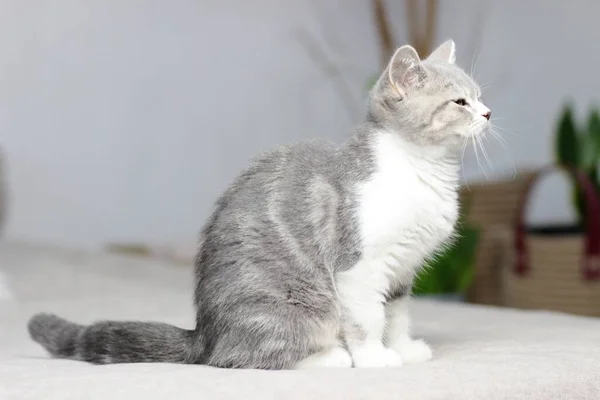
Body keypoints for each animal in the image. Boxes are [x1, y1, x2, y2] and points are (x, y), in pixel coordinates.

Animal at [27, 39, 492, 368]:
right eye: (459, 102)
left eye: (479, 95)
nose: (488, 113)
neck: (421, 170)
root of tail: (205, 334)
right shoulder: (360, 266)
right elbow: (367, 318)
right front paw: (374, 358)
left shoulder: (401, 270)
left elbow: (396, 315)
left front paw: (403, 349)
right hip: (293, 308)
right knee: (239, 358)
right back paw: (330, 357)